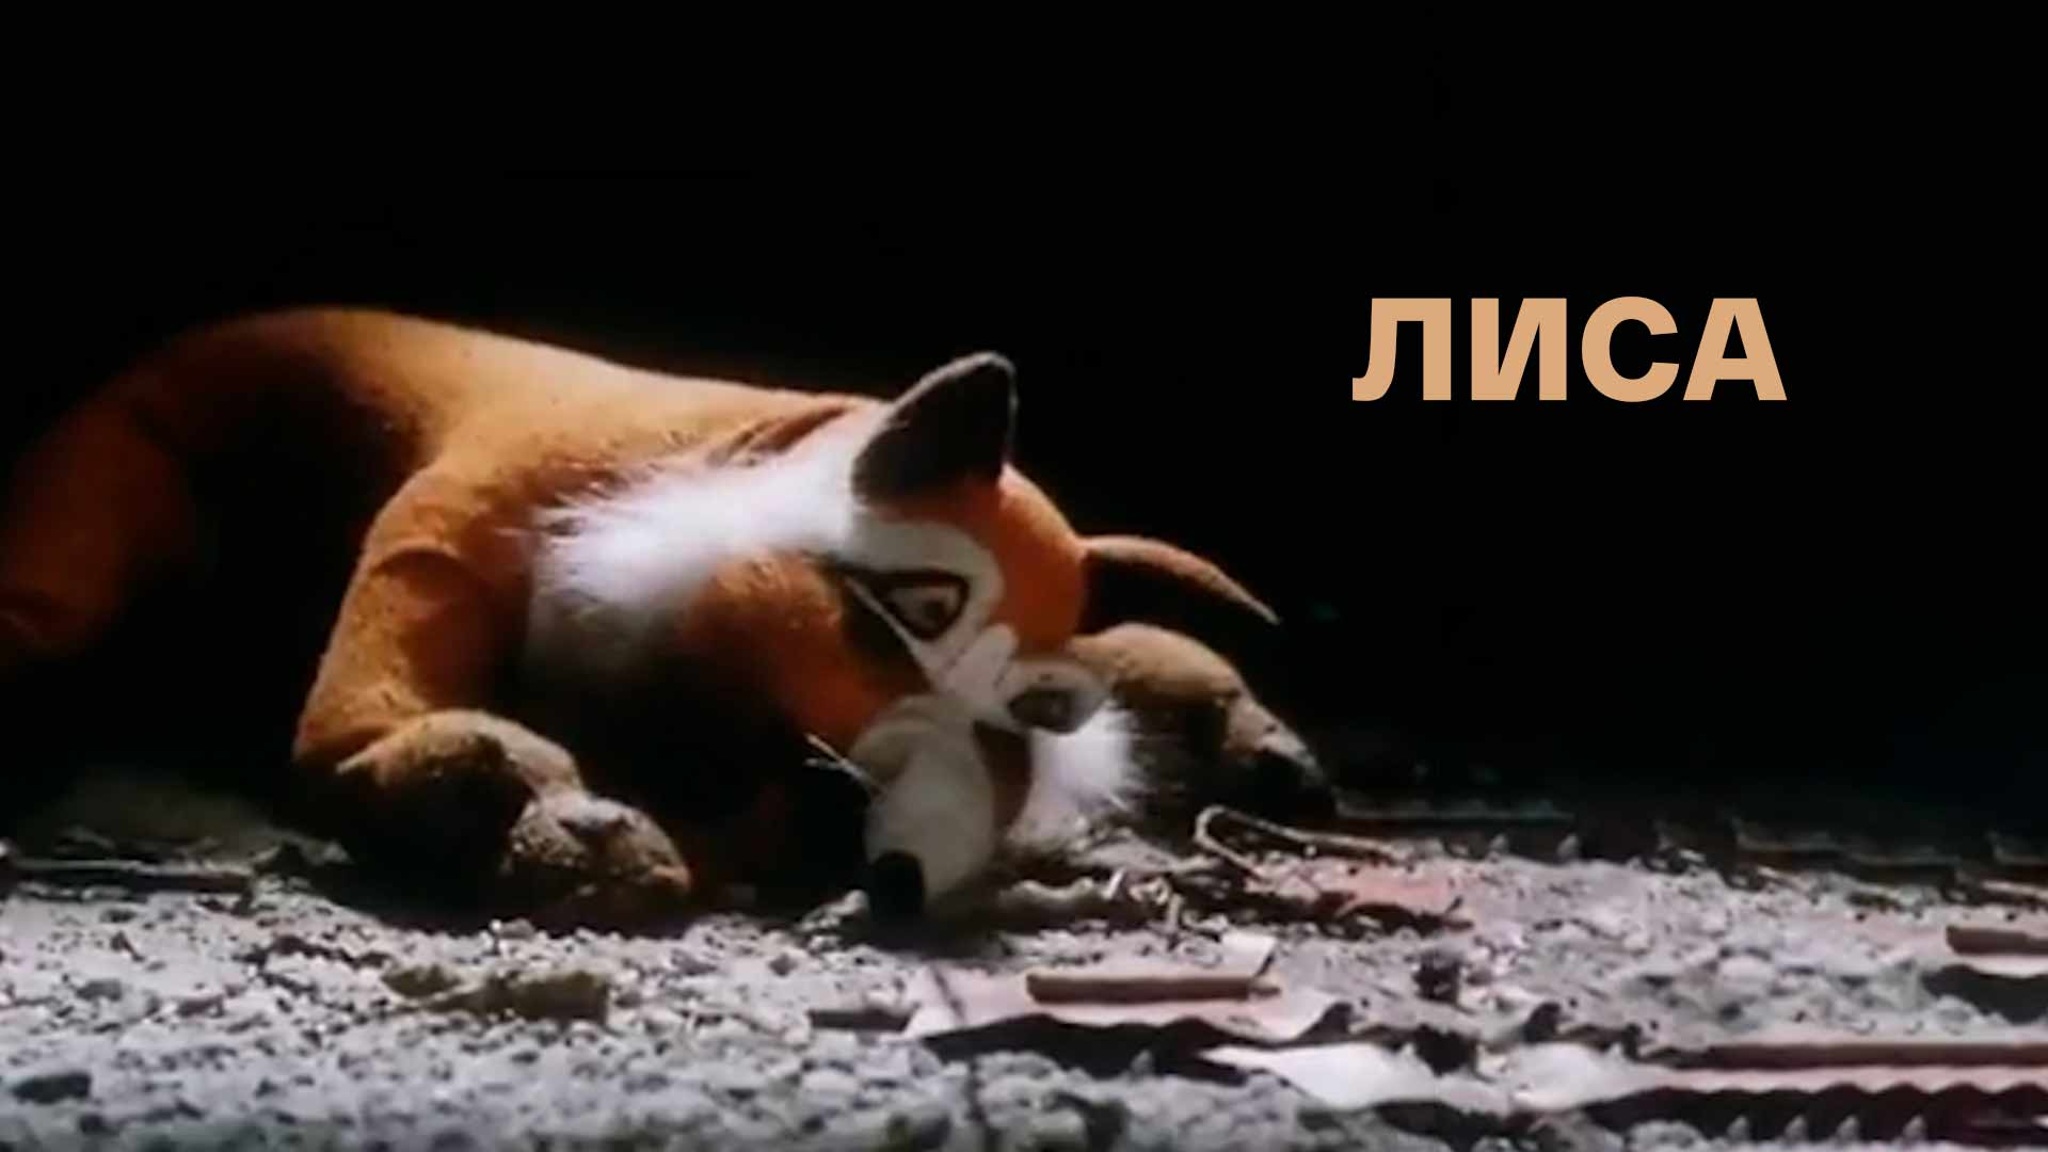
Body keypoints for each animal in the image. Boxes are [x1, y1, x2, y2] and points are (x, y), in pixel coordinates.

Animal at [0, 308, 1298, 926]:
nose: (887, 862)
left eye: (1033, 716)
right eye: (918, 606)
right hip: (100, 517)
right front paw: (541, 819)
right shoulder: (446, 534)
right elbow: (375, 731)